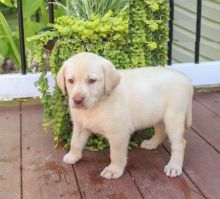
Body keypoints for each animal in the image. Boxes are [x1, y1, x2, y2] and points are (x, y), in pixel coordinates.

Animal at [56, 52, 192, 180]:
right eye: (70, 80)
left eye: (92, 81)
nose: (77, 100)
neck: (97, 104)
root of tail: (186, 79)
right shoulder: (80, 126)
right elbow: (75, 142)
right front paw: (73, 156)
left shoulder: (118, 134)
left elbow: (116, 154)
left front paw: (113, 170)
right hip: (157, 114)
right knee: (161, 130)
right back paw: (152, 143)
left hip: (173, 117)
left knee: (180, 143)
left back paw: (174, 166)